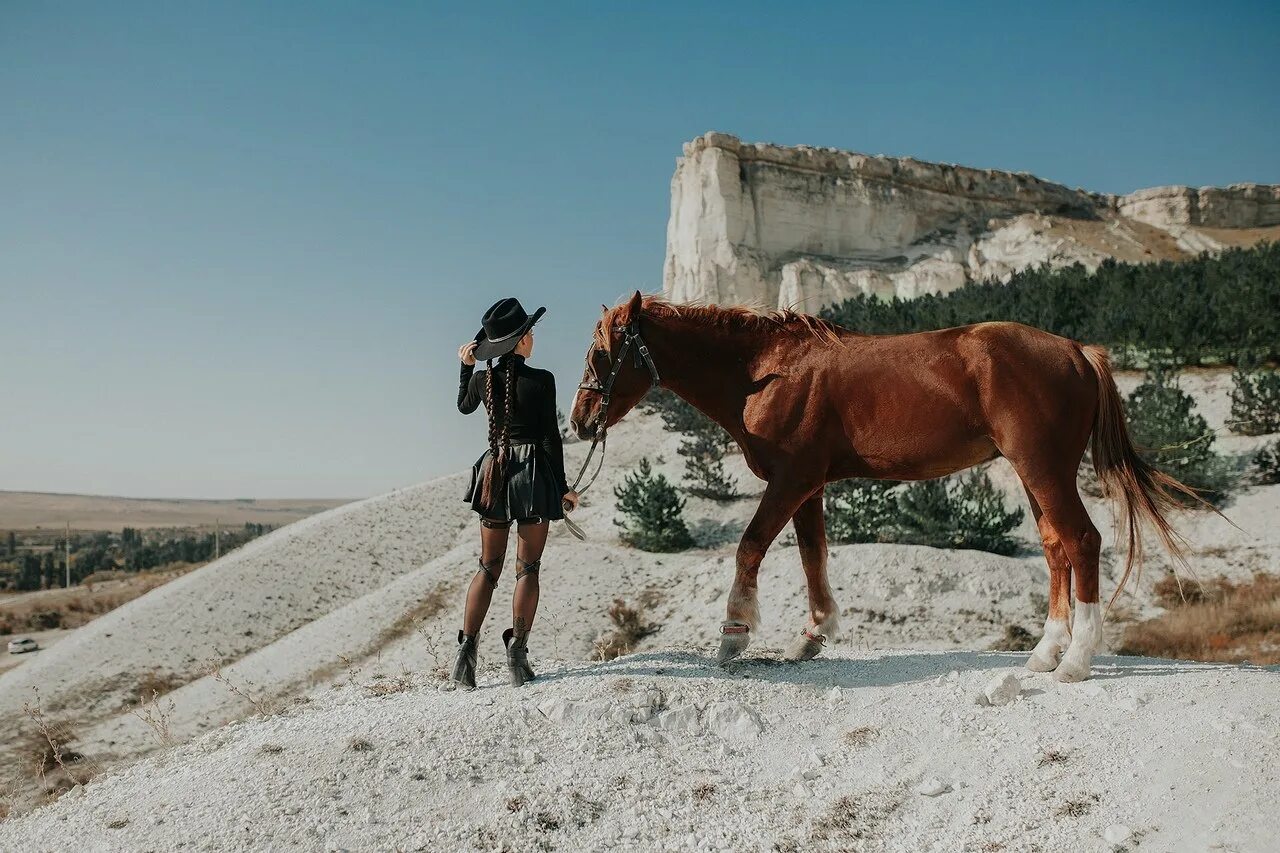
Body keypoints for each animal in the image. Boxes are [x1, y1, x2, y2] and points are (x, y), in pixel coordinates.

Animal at [573, 290, 1198, 676]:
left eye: (602, 353)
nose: (579, 421)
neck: (765, 371)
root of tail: (1076, 351)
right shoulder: (808, 486)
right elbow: (813, 556)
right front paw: (812, 635)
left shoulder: (791, 480)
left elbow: (750, 547)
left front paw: (735, 634)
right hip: (1036, 473)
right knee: (1055, 547)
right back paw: (1045, 653)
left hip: (1044, 469)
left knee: (1082, 541)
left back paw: (1075, 661)